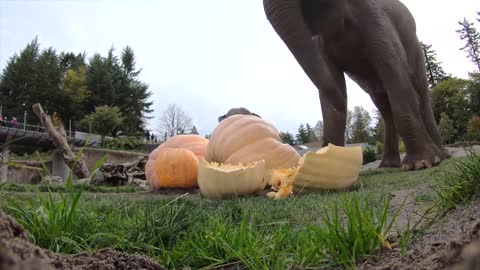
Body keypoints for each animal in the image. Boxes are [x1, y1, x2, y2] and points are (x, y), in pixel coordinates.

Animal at [262, 0, 450, 170]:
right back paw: (388, 165)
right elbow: (332, 77)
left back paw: (441, 156)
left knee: (420, 93)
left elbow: (393, 70)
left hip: (416, 50)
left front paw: (421, 164)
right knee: (382, 103)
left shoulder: (377, 19)